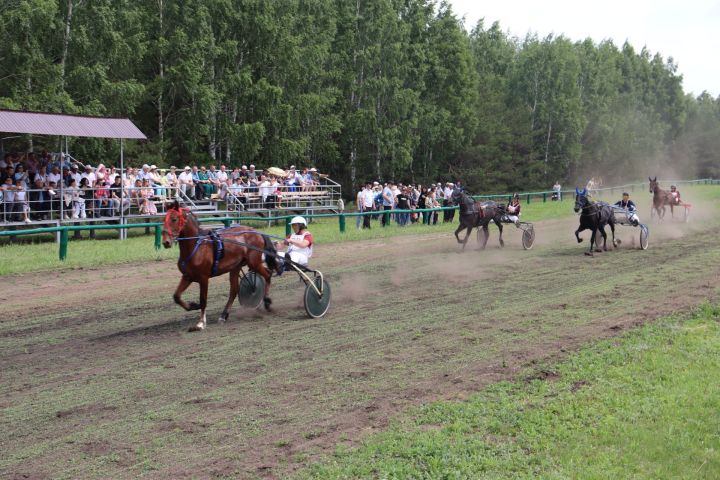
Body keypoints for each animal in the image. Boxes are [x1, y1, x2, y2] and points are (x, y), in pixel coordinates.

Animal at [161, 201, 282, 332]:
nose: (166, 242)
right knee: (234, 290)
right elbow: (176, 296)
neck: (196, 247)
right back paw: (224, 315)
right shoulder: (187, 276)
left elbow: (203, 300)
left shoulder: (203, 278)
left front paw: (201, 323)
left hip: (253, 262)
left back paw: (267, 302)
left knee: (267, 274)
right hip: (235, 267)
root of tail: (256, 232)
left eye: (174, 219)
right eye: (164, 219)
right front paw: (193, 305)